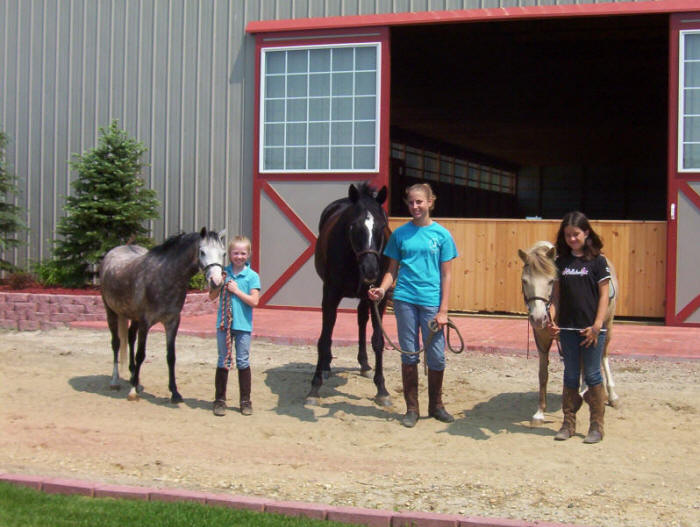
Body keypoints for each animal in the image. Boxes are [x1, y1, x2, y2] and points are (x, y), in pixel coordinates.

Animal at [100, 227, 226, 403]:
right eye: (202, 252)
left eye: (223, 253)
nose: (216, 282)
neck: (164, 276)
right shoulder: (145, 323)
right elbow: (141, 355)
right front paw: (132, 392)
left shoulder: (172, 322)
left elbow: (171, 357)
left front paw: (175, 393)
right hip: (111, 312)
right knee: (116, 344)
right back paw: (115, 381)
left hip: (133, 317)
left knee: (130, 338)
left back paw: (134, 377)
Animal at [306, 182, 392, 407]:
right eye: (354, 226)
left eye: (382, 227)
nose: (370, 270)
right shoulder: (330, 294)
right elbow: (324, 338)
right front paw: (314, 387)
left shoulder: (379, 297)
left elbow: (378, 340)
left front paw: (382, 389)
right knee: (332, 328)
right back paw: (326, 367)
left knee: (361, 321)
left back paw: (365, 365)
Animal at [518, 241, 620, 425]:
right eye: (524, 281)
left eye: (551, 281)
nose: (538, 318)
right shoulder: (542, 338)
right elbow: (543, 374)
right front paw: (539, 413)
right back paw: (584, 390)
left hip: (607, 325)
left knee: (603, 357)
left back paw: (612, 396)